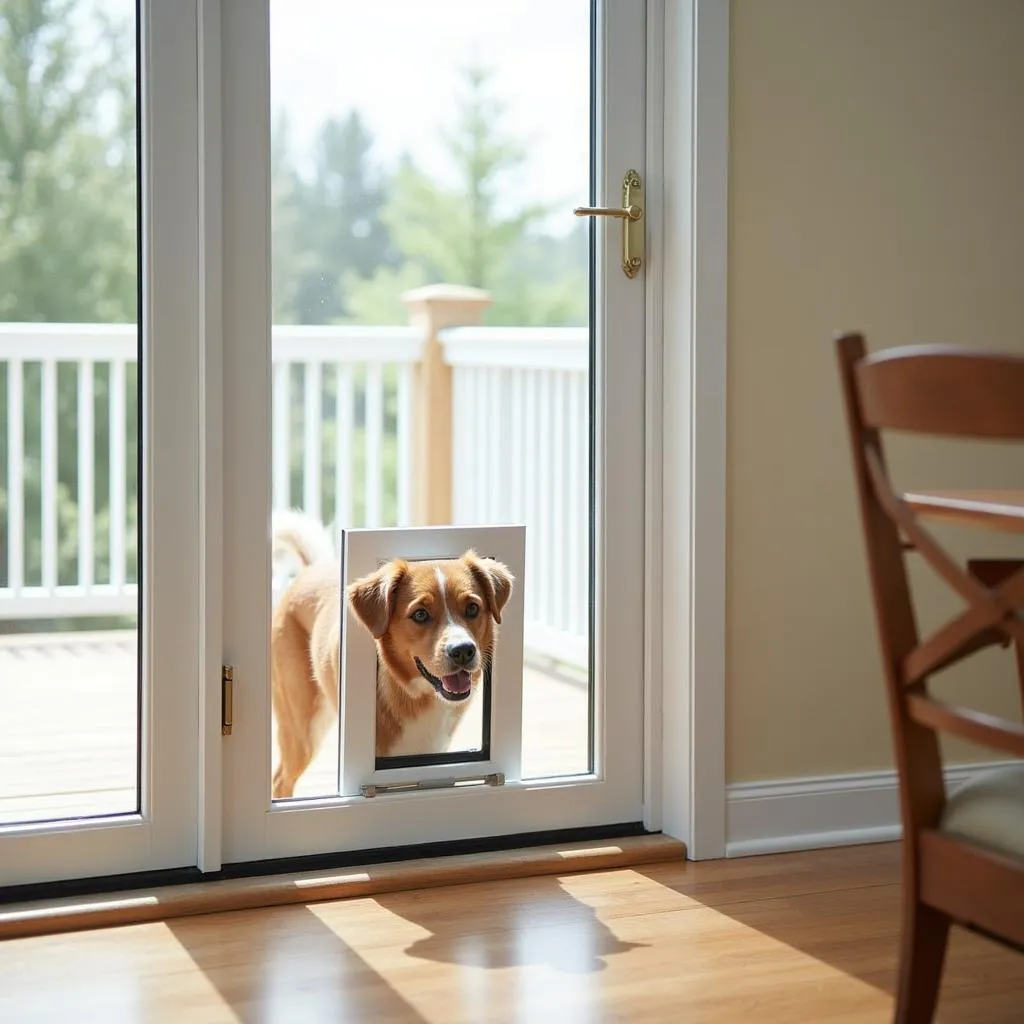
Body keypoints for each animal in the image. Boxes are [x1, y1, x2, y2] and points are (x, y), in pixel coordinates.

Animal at [270, 512, 512, 798]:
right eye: (420, 614)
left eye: (473, 608)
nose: (463, 650)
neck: (418, 696)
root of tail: (311, 569)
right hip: (304, 729)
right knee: (281, 780)